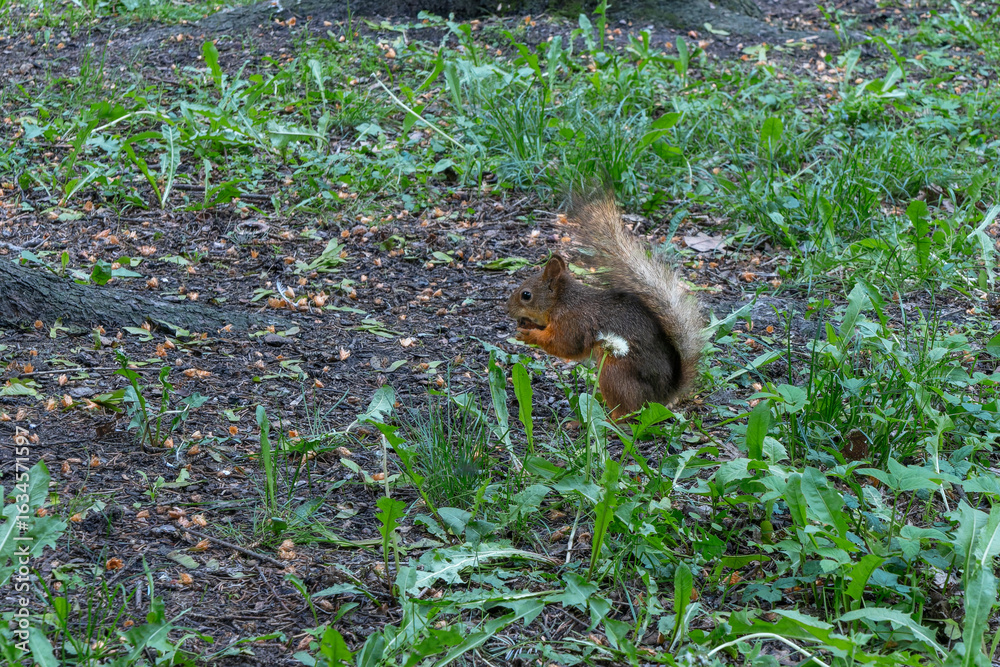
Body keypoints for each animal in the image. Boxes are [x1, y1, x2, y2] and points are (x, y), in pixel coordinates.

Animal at [507, 195, 704, 420]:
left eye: (526, 295)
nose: (507, 309)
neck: (561, 302)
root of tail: (664, 394)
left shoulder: (574, 322)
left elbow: (564, 346)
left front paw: (528, 335)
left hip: (614, 373)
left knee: (628, 413)